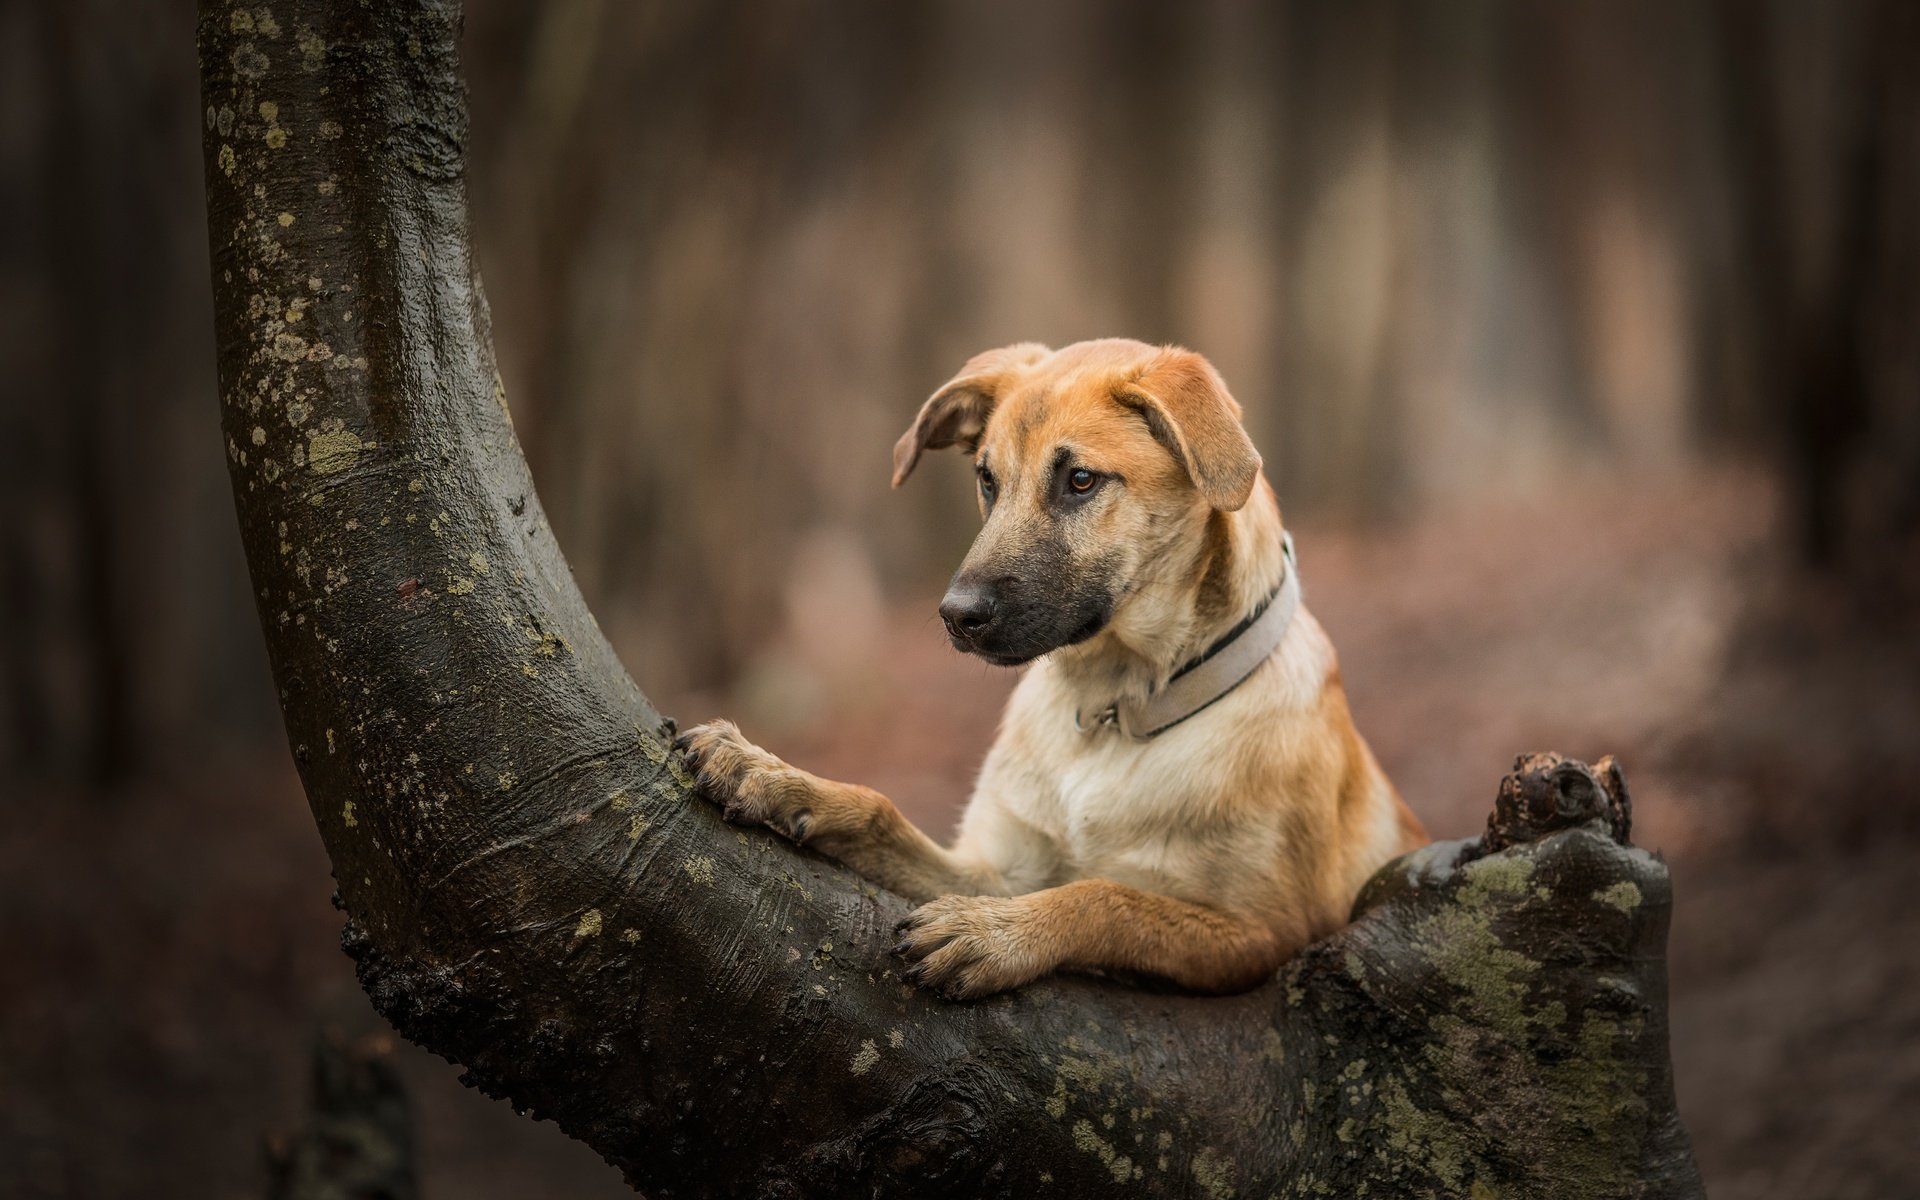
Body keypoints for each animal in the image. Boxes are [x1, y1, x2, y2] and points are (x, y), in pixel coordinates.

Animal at [675, 334, 1428, 990]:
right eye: (986, 479)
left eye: (1081, 480)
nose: (955, 615)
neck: (1113, 709)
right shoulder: (996, 867)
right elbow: (879, 809)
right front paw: (772, 775)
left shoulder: (1267, 934)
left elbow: (1106, 898)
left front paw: (993, 935)